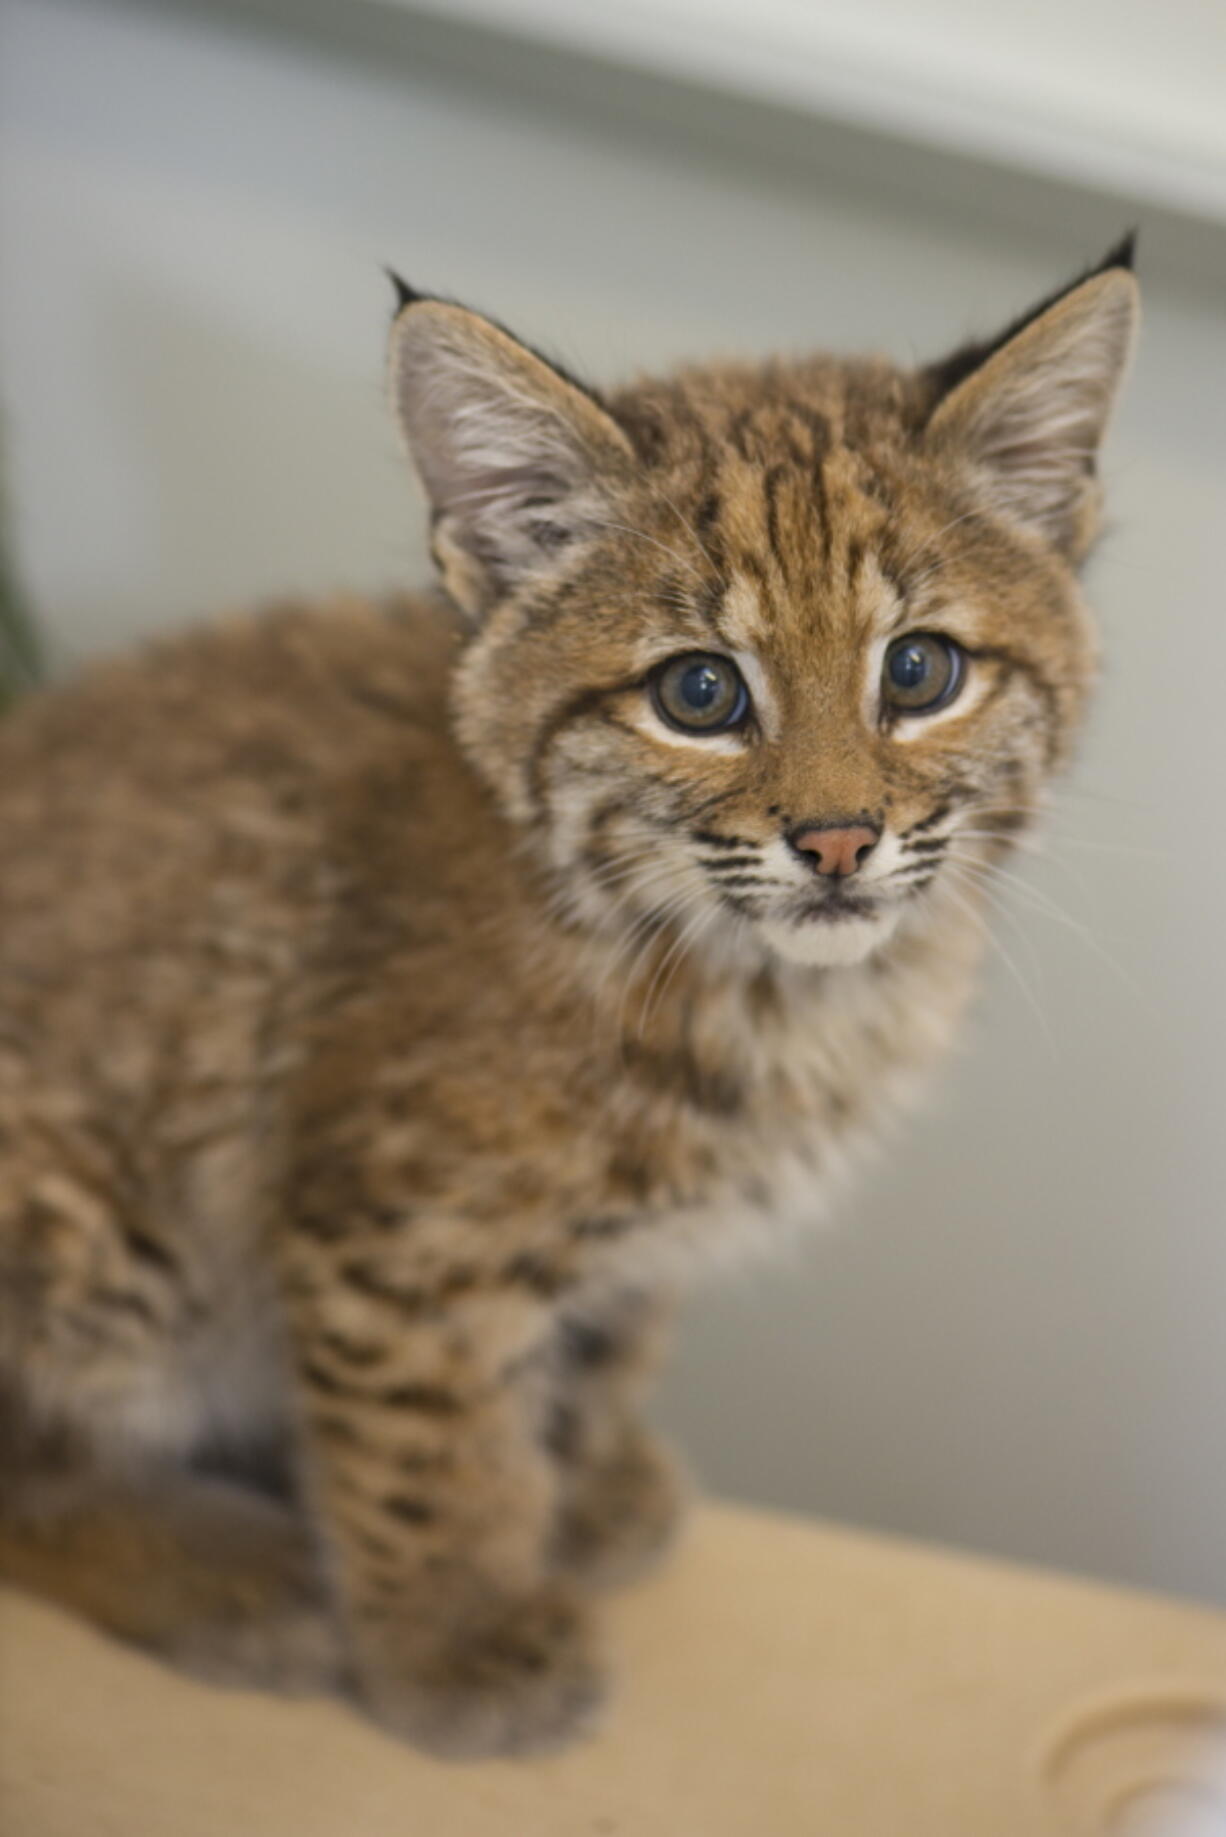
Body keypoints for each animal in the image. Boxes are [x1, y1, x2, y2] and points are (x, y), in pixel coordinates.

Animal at [0, 240, 1139, 1748]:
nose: (837, 842)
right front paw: (457, 1640)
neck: (755, 983)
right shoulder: (394, 1229)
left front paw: (582, 1489)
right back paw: (232, 1576)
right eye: (698, 692)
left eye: (917, 671)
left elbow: (604, 1339)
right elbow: (431, 1445)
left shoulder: (625, 1238)